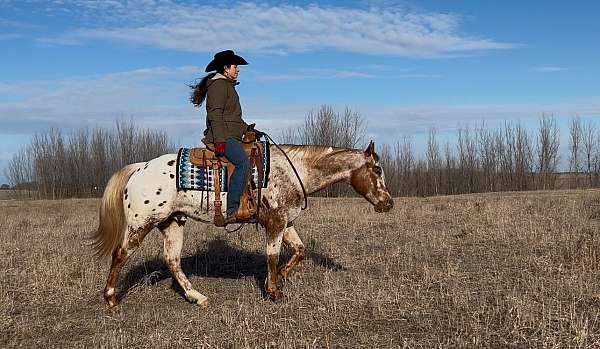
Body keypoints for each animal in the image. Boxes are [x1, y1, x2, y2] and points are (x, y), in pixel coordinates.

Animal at [92, 140, 394, 306]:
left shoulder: (286, 222)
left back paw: (197, 297)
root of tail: (139, 168)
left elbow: (300, 251)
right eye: (377, 169)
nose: (388, 203)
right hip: (141, 224)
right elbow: (272, 256)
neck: (292, 171)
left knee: (172, 261)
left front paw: (280, 277)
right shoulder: (276, 223)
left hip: (172, 223)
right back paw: (111, 299)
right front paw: (273, 291)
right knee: (120, 255)